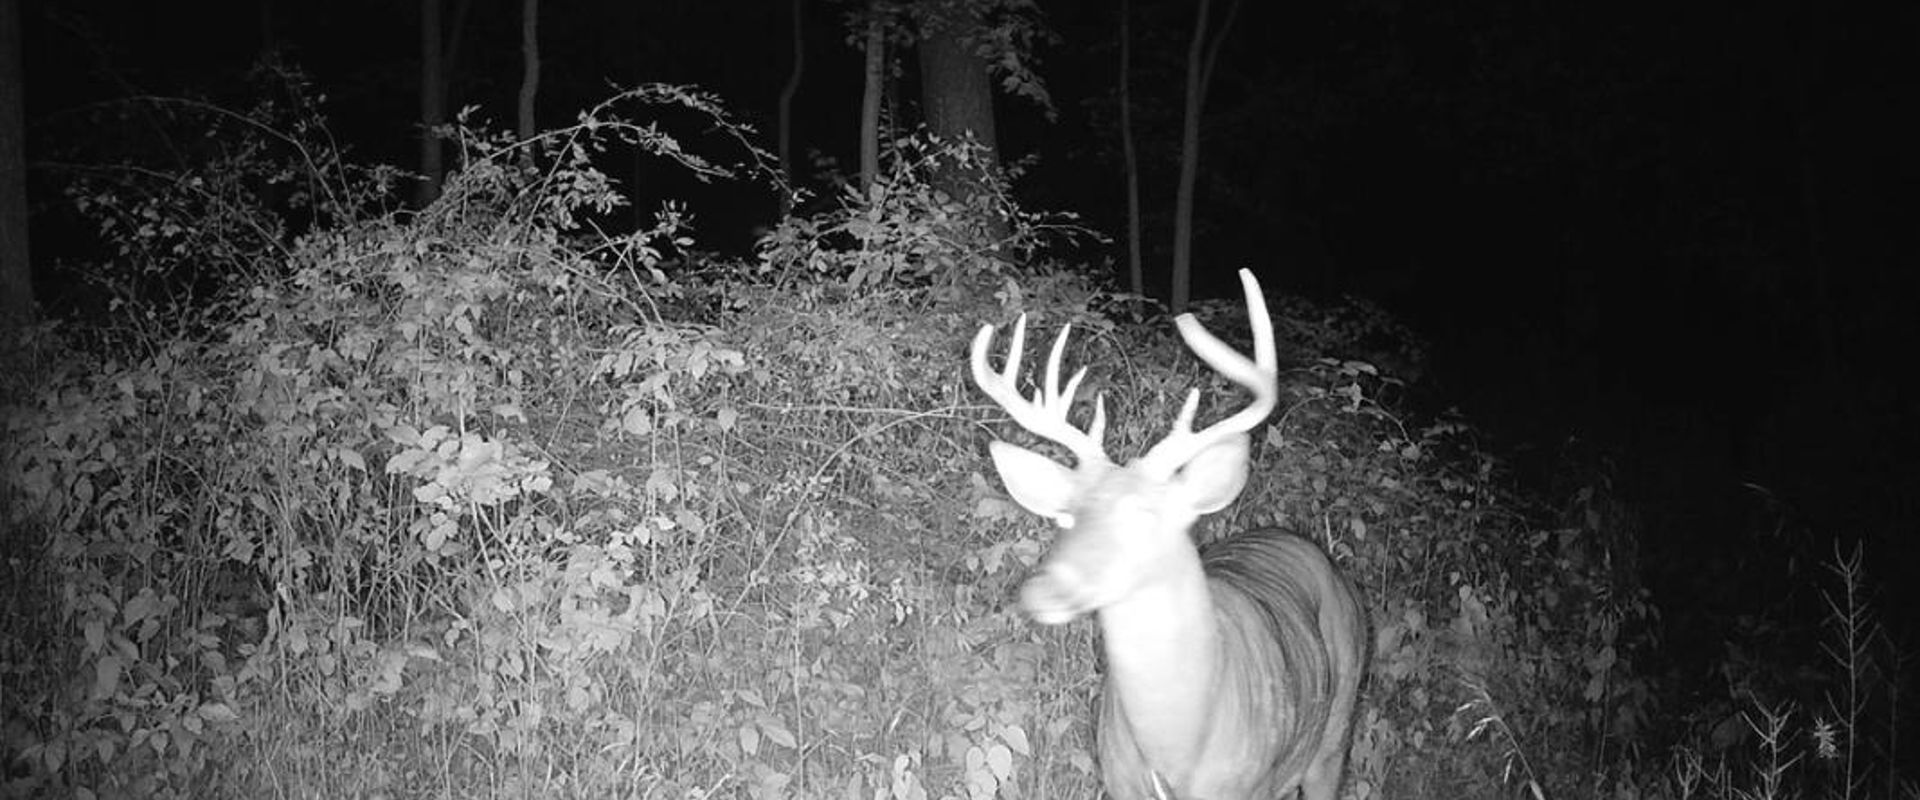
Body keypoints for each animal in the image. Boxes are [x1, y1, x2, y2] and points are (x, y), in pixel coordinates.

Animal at [969, 269, 1367, 800]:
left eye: (1146, 515)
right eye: (1066, 517)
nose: (1042, 591)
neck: (1177, 750)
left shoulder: (1252, 785)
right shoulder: (1117, 781)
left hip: (1336, 729)